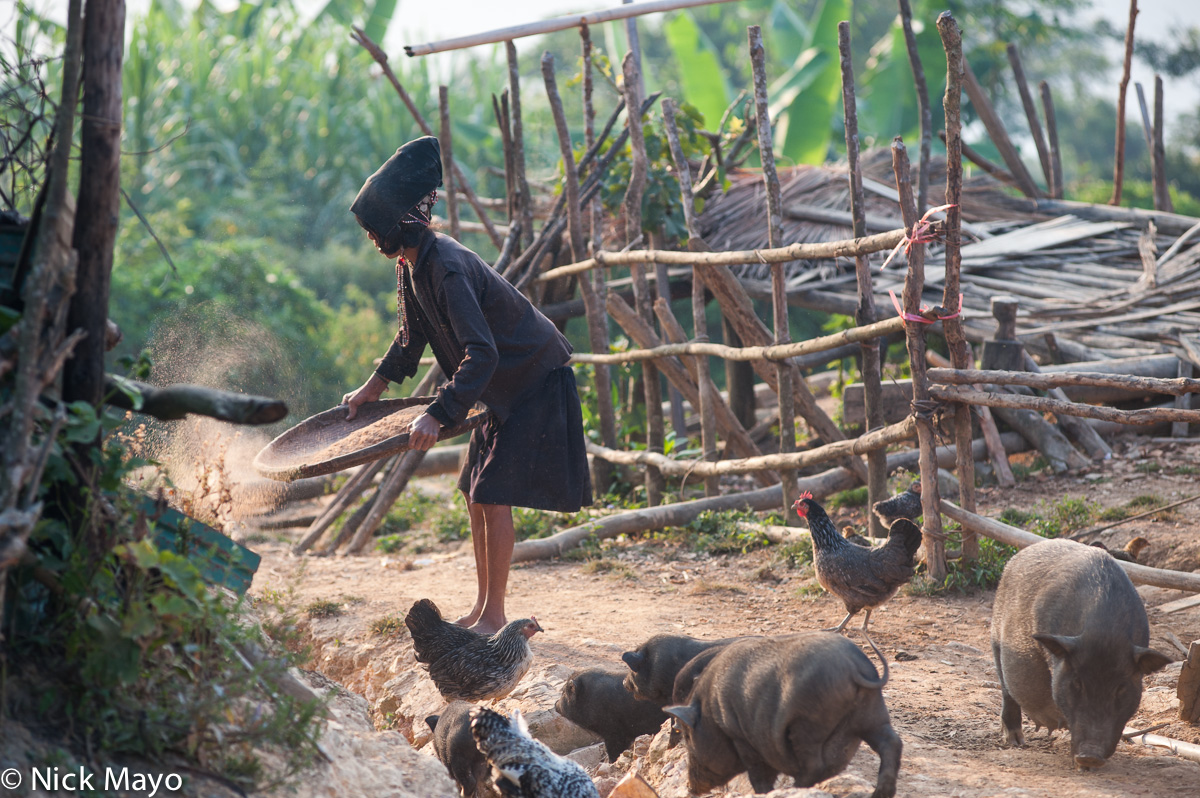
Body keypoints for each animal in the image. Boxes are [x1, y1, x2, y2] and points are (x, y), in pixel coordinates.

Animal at [662, 633, 897, 792]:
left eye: (688, 737)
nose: (690, 788)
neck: (712, 713)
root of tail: (853, 667)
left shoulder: (741, 737)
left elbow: (759, 774)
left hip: (808, 725)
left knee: (814, 765)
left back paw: (796, 788)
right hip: (873, 714)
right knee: (891, 744)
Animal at [993, 537, 1171, 768]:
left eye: (1121, 688)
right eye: (1077, 683)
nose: (1090, 755)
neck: (1106, 631)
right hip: (996, 637)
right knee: (1006, 689)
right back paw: (1015, 742)